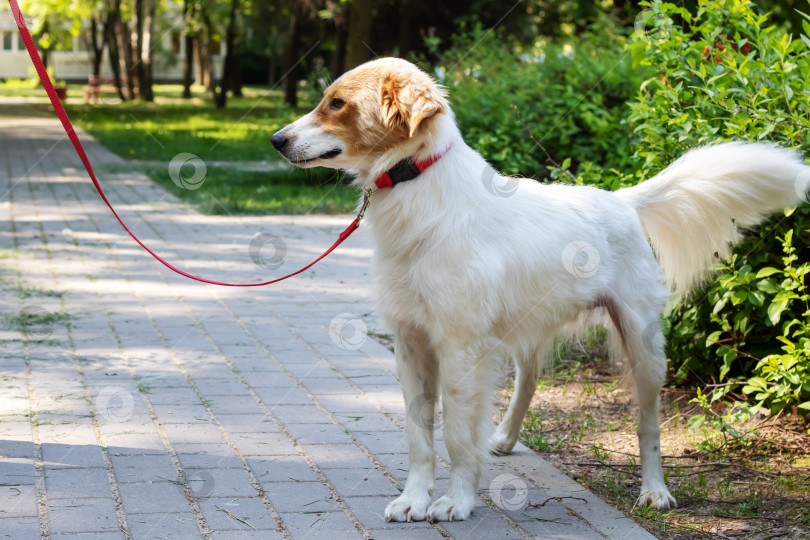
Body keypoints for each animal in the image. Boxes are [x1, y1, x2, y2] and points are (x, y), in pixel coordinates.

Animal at [274, 57, 808, 520]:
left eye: (336, 103)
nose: (277, 139)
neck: (417, 186)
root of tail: (621, 199)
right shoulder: (410, 342)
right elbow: (418, 435)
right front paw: (414, 499)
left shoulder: (460, 348)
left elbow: (456, 437)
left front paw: (456, 502)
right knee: (529, 378)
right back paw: (505, 438)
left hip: (644, 347)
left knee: (649, 423)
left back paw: (655, 490)